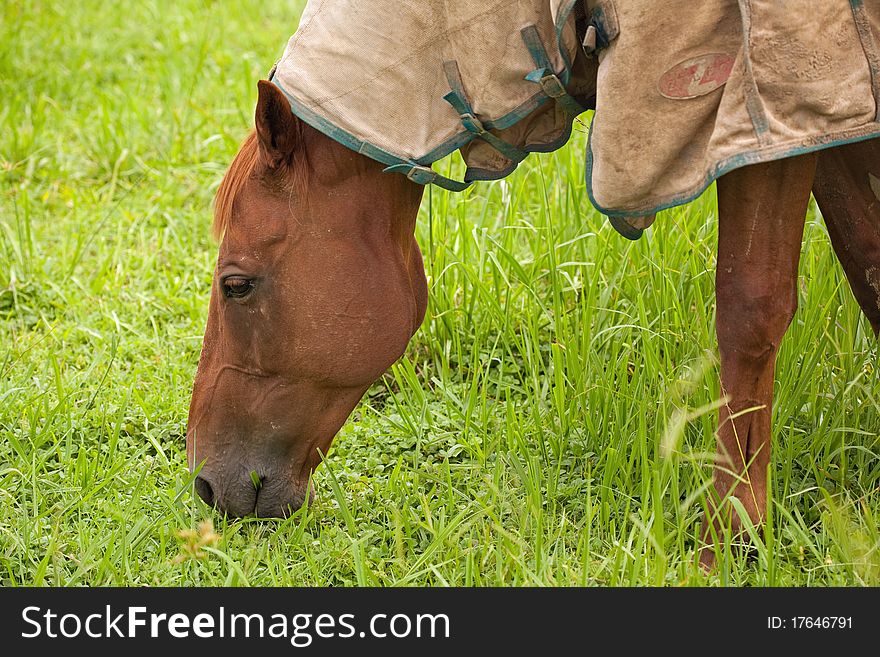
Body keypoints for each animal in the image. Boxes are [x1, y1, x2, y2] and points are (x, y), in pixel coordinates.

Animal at [187, 80, 880, 564]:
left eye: (236, 285)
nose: (204, 488)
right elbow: (866, 257)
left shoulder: (771, 126)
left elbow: (750, 307)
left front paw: (729, 535)